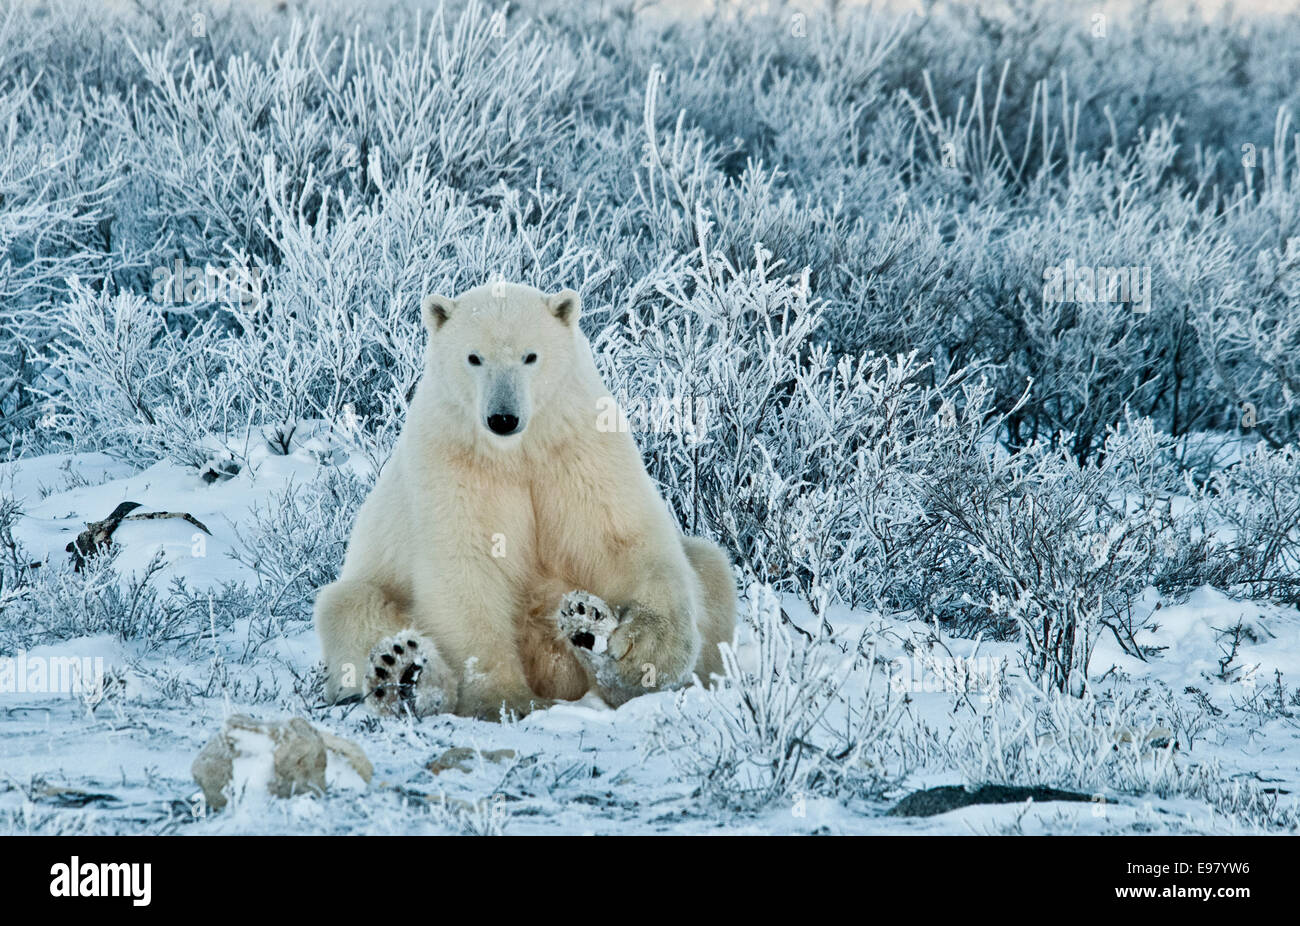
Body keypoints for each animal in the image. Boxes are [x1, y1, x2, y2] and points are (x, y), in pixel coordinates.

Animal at [314, 283, 738, 723]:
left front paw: (645, 656)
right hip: (368, 591)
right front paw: (505, 700)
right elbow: (468, 566)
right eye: (474, 357)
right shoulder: (454, 462)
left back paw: (591, 634)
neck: (518, 451)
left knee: (711, 564)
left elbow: (620, 538)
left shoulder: (578, 447)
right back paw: (405, 672)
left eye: (530, 356)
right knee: (351, 607)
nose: (503, 418)